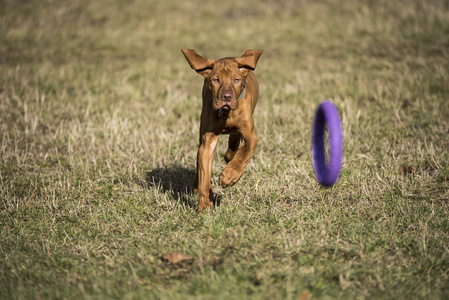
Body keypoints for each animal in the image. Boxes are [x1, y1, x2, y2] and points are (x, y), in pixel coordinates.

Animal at [180, 48, 260, 211]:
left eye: (236, 80)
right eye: (216, 80)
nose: (226, 97)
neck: (226, 113)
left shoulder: (250, 134)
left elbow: (245, 151)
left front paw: (230, 175)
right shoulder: (207, 141)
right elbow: (204, 174)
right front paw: (205, 205)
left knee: (234, 142)